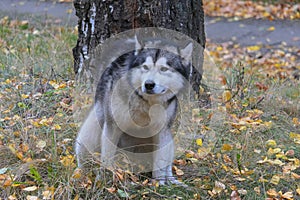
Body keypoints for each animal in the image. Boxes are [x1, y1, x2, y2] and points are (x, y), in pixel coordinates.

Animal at [75, 36, 192, 185]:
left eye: (164, 69)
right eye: (145, 67)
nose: (149, 84)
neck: (145, 103)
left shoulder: (162, 131)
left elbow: (160, 165)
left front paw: (159, 185)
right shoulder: (112, 126)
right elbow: (107, 158)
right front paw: (106, 180)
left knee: (166, 166)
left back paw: (171, 180)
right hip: (89, 133)